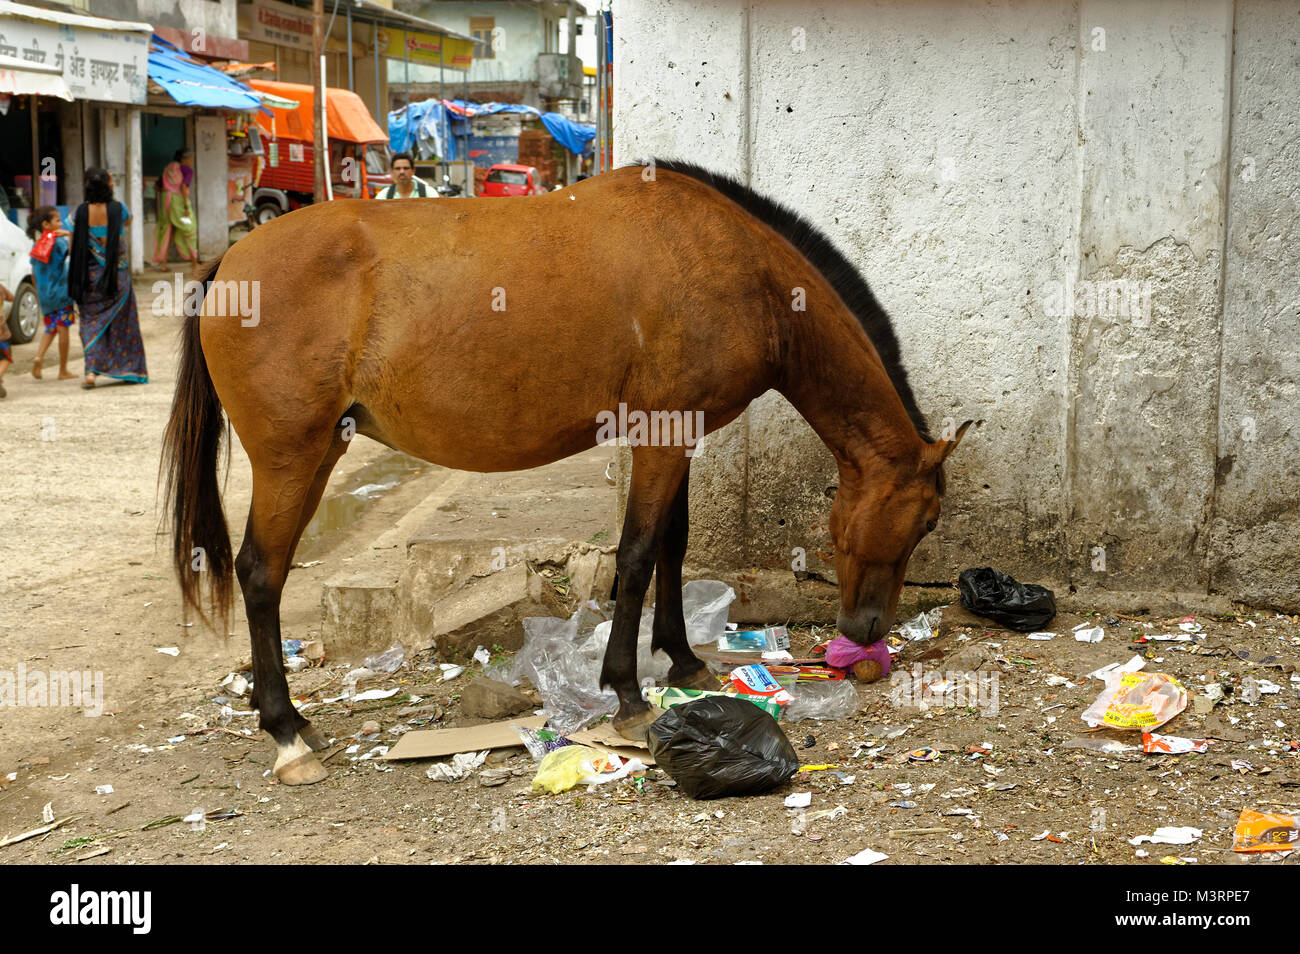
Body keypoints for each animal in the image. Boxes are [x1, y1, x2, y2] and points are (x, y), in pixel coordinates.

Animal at [162, 162, 972, 785]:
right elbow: (638, 556)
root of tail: (229, 263)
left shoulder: (674, 436)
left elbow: (672, 548)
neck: (740, 269)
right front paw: (628, 694)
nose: (865, 633)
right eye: (927, 518)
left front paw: (682, 662)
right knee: (261, 573)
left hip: (322, 450)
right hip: (291, 458)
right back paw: (286, 734)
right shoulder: (661, 438)